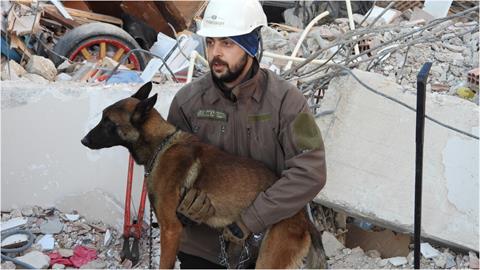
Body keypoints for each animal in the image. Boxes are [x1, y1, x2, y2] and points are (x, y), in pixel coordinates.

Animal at [81, 82, 326, 268]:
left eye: (108, 122)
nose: (83, 140)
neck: (161, 144)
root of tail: (304, 219)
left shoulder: (171, 230)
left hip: (268, 259)